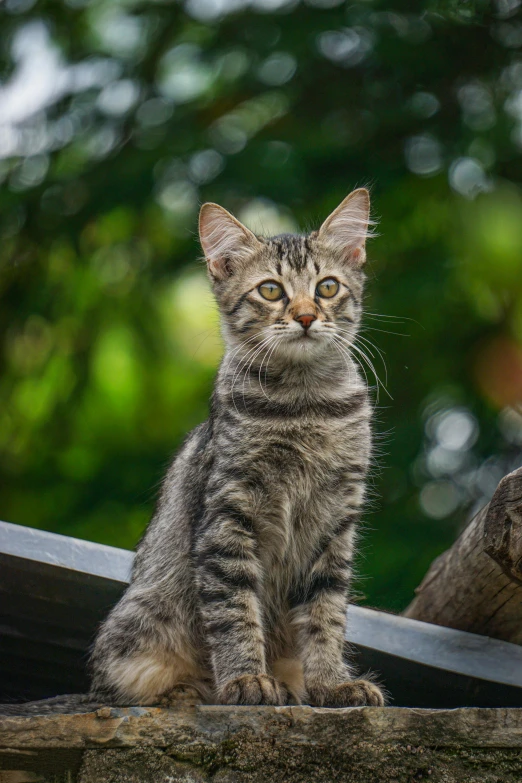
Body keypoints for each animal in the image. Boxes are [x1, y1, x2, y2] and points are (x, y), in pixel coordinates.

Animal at [89, 190, 382, 712]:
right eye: (270, 291)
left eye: (327, 287)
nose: (306, 317)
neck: (304, 404)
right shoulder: (228, 516)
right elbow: (234, 612)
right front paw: (246, 679)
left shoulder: (334, 523)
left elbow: (325, 616)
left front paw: (331, 684)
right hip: (138, 625)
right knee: (112, 688)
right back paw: (188, 691)